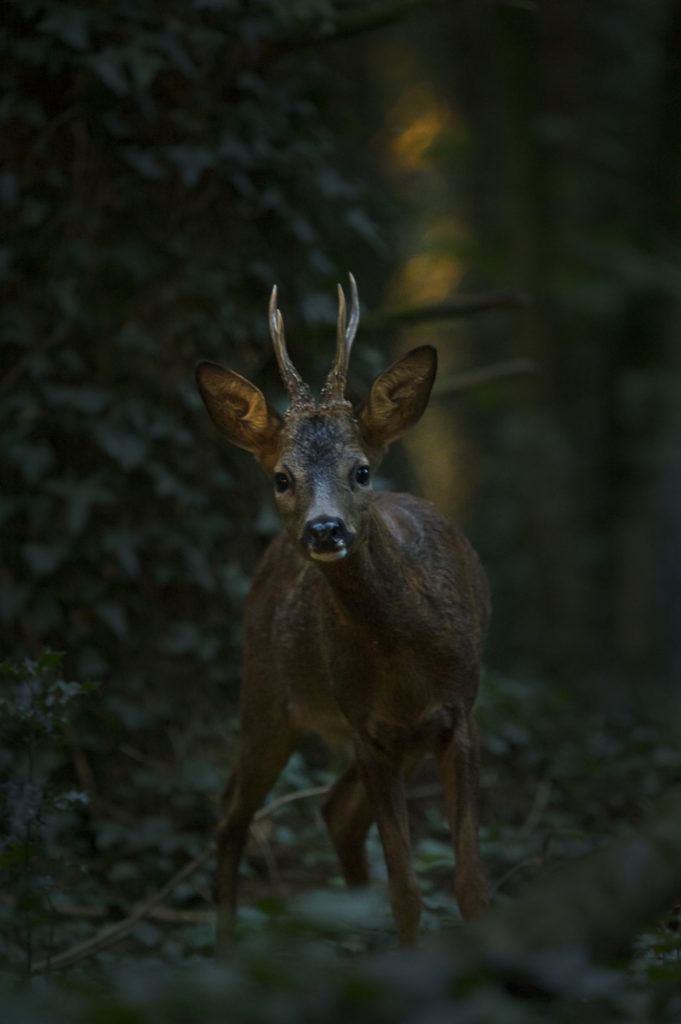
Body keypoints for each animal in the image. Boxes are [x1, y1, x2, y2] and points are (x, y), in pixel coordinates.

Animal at [195, 274, 489, 950]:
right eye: (281, 477)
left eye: (361, 470)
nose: (324, 529)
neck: (404, 660)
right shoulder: (366, 725)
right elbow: (407, 891)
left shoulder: (456, 714)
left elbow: (469, 886)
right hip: (266, 691)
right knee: (233, 814)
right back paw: (224, 950)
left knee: (333, 811)